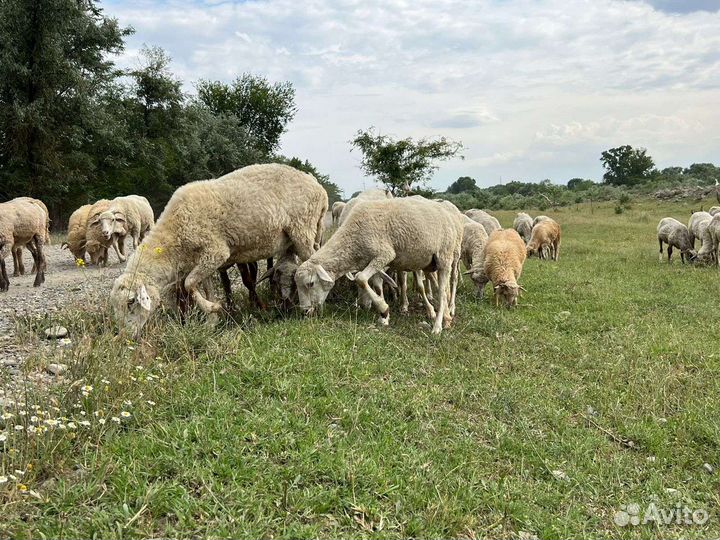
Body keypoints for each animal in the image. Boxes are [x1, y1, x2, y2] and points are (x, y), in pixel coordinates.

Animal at [110, 163, 328, 337]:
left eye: (131, 301)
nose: (126, 336)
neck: (175, 234)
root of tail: (317, 186)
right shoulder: (204, 260)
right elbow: (205, 287)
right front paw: (211, 321)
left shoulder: (216, 252)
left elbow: (189, 283)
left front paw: (212, 308)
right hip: (307, 233)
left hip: (302, 228)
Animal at [294, 196, 464, 335]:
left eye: (310, 283)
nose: (305, 312)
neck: (352, 238)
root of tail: (445, 209)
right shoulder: (374, 262)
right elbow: (375, 284)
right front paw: (384, 317)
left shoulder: (384, 254)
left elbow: (361, 279)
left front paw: (384, 308)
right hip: (429, 263)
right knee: (441, 288)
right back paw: (447, 319)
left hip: (445, 257)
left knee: (442, 291)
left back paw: (438, 325)